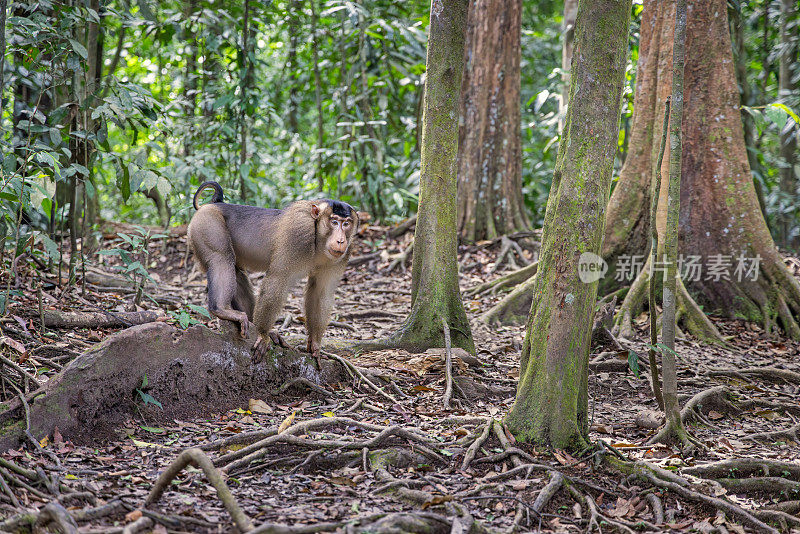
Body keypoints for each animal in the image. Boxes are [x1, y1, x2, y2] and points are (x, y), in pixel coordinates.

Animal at [188, 182, 356, 362]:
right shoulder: (299, 232)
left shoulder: (344, 253)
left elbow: (321, 291)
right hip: (207, 222)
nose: (341, 240)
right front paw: (262, 334)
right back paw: (221, 309)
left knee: (236, 270)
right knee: (222, 258)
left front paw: (316, 342)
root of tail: (214, 204)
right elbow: (277, 279)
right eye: (334, 222)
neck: (318, 236)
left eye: (346, 224)